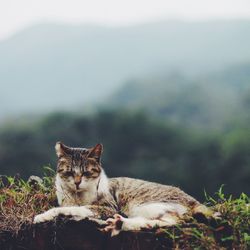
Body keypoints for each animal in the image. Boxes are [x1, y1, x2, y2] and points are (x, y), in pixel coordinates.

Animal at [33, 142, 209, 235]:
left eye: (86, 173)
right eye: (70, 172)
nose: (77, 183)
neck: (77, 195)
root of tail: (193, 200)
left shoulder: (108, 208)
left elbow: (72, 209)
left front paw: (42, 216)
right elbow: (67, 207)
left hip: (142, 205)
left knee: (173, 221)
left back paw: (119, 223)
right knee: (164, 222)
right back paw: (119, 224)